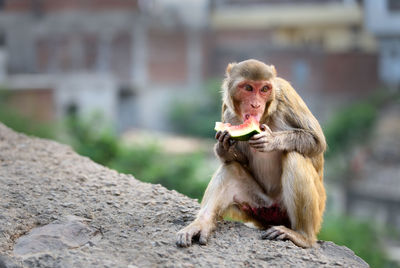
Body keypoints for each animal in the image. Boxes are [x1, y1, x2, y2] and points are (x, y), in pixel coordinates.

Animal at [177, 59, 326, 249]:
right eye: (248, 88)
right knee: (230, 169)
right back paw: (201, 224)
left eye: (264, 89)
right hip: (258, 207)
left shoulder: (287, 95)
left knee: (294, 156)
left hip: (311, 211)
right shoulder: (227, 110)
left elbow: (316, 140)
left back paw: (301, 236)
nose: (256, 104)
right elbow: (239, 159)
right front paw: (223, 147)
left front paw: (271, 140)